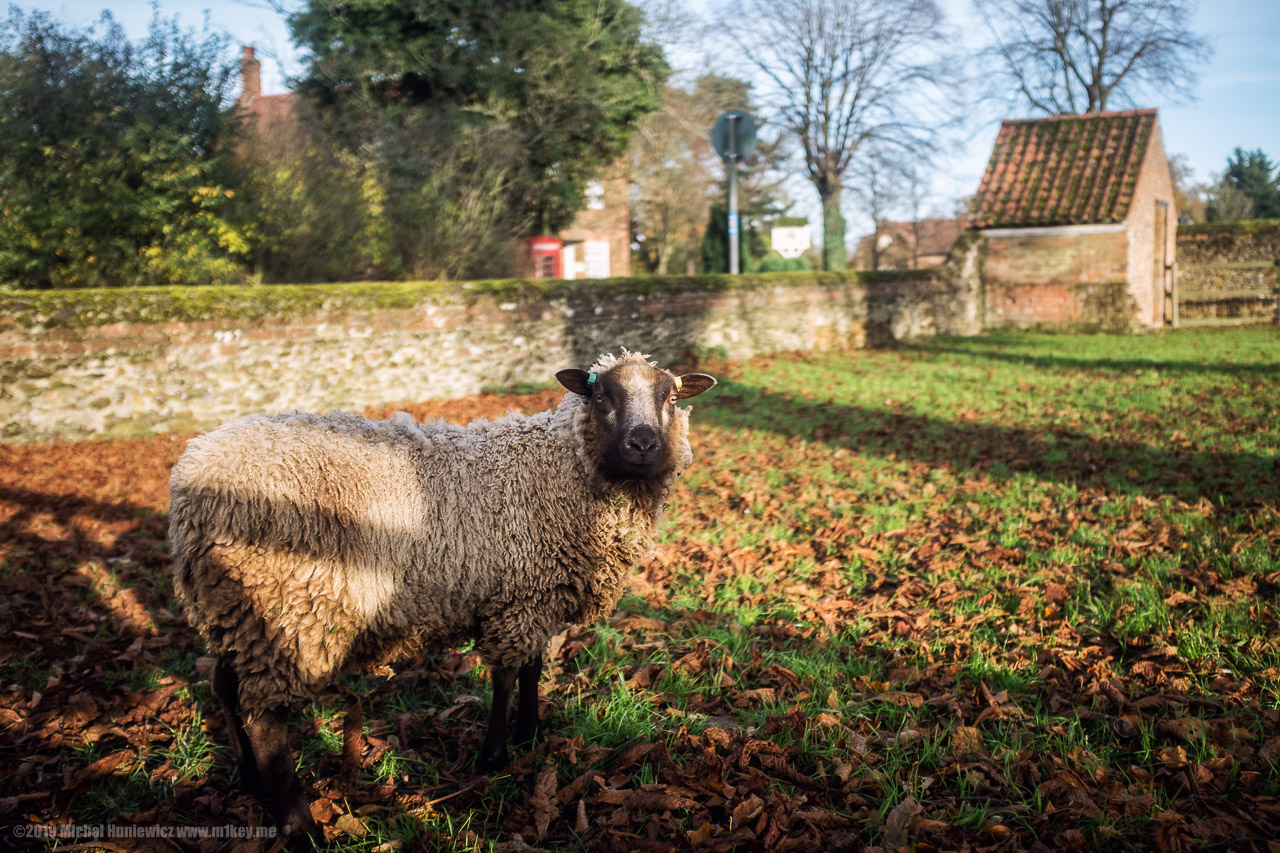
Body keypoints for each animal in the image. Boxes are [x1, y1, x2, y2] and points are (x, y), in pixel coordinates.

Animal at [168, 350, 715, 841]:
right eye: (602, 396)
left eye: (670, 398)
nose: (643, 443)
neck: (557, 471)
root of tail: (193, 478)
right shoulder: (515, 599)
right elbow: (505, 676)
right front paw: (494, 756)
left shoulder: (534, 596)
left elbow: (532, 668)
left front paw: (530, 734)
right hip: (289, 607)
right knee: (267, 721)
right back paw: (300, 827)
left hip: (238, 607)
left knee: (225, 688)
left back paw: (250, 782)